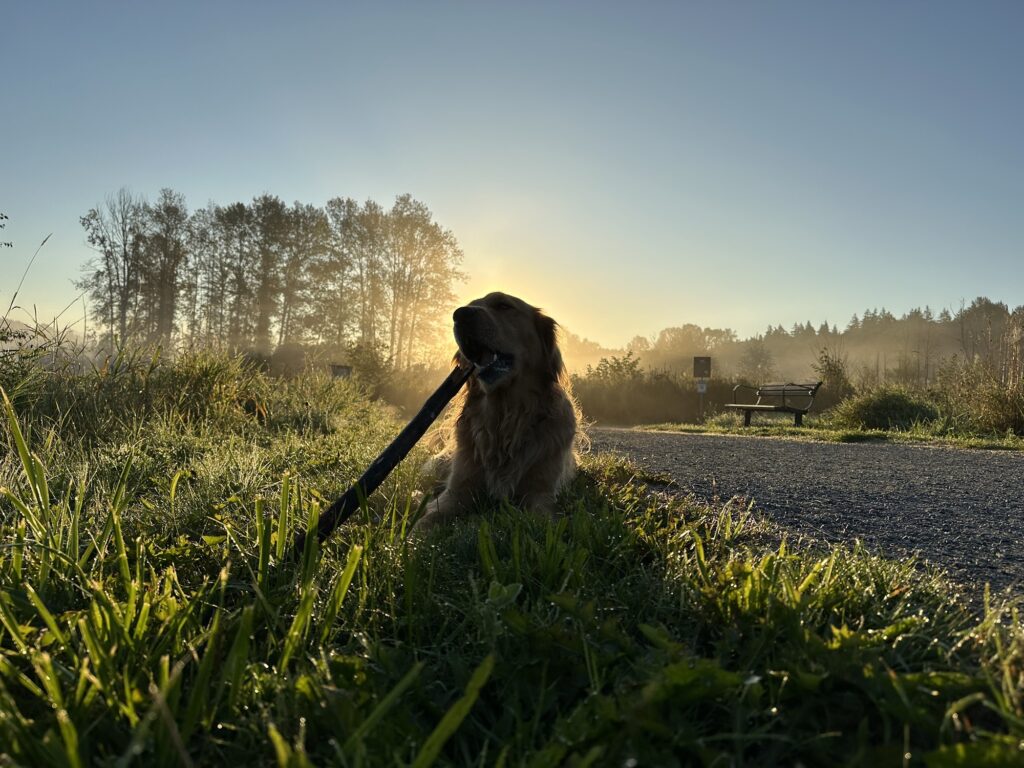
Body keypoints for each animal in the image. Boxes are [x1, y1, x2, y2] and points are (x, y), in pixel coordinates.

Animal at [411, 290, 581, 532]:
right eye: (470, 305)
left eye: (503, 306)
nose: (459, 315)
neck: (504, 417)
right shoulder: (457, 489)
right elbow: (431, 516)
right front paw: (410, 538)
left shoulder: (542, 492)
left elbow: (543, 520)